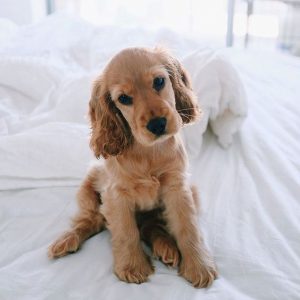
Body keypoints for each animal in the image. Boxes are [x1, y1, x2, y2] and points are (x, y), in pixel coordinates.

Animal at [49, 47, 218, 288]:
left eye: (159, 81)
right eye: (124, 98)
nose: (157, 124)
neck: (148, 151)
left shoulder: (178, 187)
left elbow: (188, 226)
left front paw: (198, 265)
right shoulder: (116, 195)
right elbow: (125, 231)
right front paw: (132, 266)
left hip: (190, 194)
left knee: (151, 225)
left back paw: (166, 247)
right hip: (87, 189)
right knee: (91, 220)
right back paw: (67, 240)